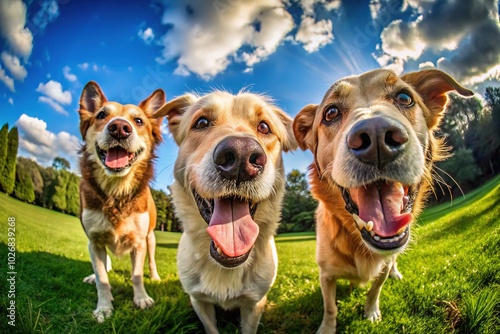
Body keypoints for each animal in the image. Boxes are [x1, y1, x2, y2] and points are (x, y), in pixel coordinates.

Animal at [78, 81, 164, 320]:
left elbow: (136, 275)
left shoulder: (139, 242)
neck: (116, 192)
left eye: (139, 121)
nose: (119, 127)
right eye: (101, 115)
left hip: (151, 238)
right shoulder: (94, 241)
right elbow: (102, 279)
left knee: (151, 260)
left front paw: (141, 299)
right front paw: (103, 307)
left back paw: (155, 276)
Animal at [292, 69, 472, 332]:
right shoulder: (325, 275)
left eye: (405, 98)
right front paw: (327, 327)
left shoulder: (383, 267)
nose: (376, 135)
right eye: (331, 113)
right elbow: (330, 307)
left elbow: (375, 289)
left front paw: (371, 312)